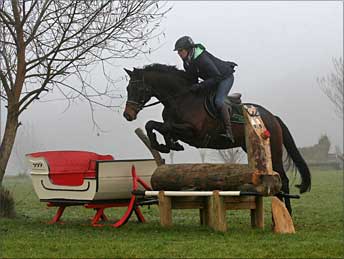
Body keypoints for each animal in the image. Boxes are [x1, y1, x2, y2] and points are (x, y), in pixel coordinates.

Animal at [123, 63, 312, 215]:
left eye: (138, 89)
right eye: (127, 89)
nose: (128, 115)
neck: (180, 99)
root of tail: (273, 117)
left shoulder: (193, 133)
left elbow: (161, 126)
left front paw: (164, 144)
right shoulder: (176, 127)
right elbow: (154, 125)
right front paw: (167, 145)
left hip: (273, 149)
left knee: (283, 179)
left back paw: (285, 212)